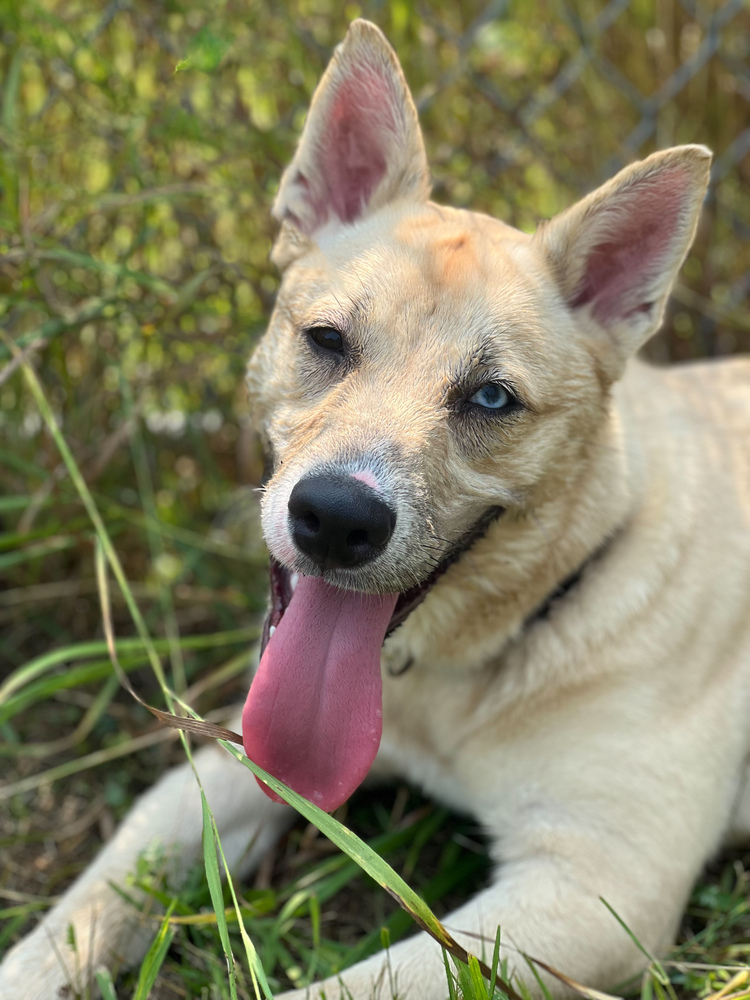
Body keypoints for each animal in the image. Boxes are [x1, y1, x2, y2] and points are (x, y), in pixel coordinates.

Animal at [1, 17, 750, 1000]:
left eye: (491, 399)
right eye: (326, 340)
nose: (336, 520)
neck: (453, 676)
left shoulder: (594, 888)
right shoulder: (232, 758)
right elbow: (90, 900)